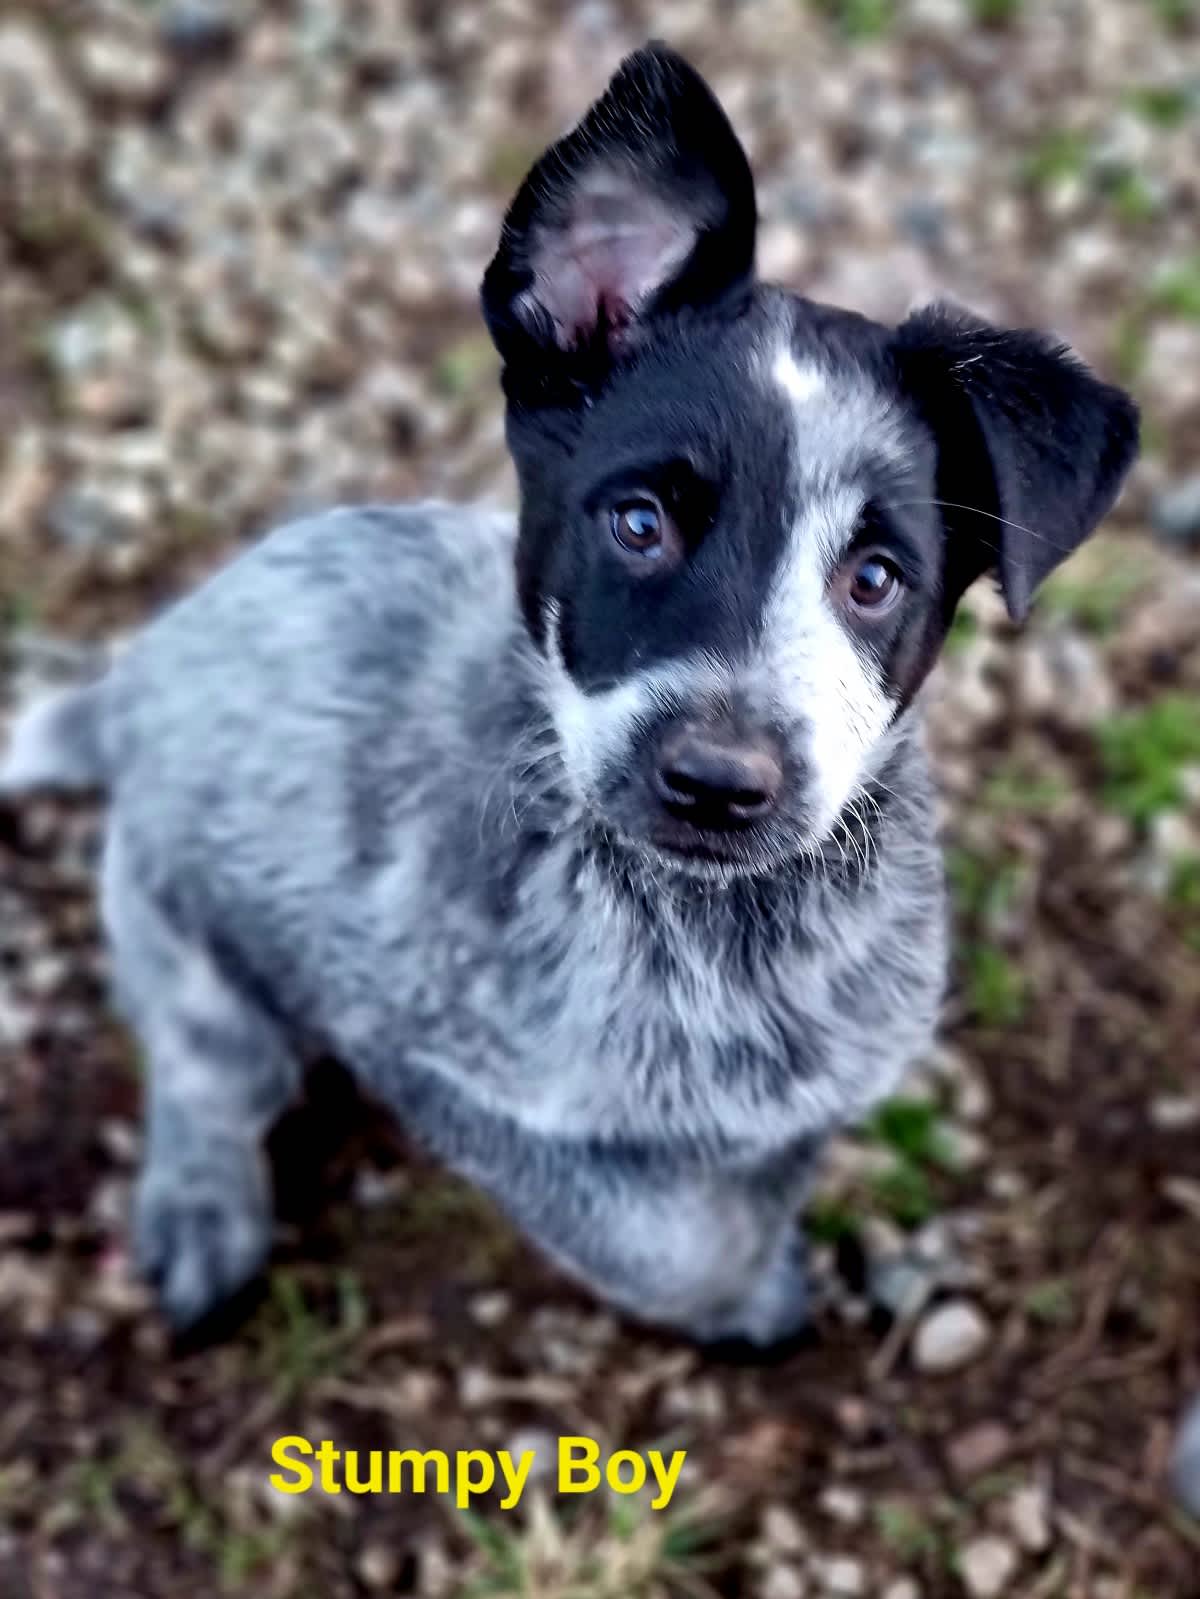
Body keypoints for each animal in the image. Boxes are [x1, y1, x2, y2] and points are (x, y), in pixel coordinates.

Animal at [0, 43, 1139, 1343]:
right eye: (638, 523)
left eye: (875, 578)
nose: (718, 781)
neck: (715, 939)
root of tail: (142, 672)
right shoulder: (442, 1070)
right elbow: (670, 1238)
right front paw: (751, 1294)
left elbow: (775, 1158)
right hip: (191, 945)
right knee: (203, 1075)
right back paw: (203, 1215)